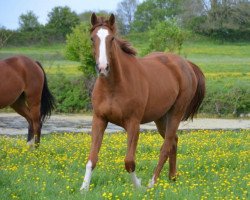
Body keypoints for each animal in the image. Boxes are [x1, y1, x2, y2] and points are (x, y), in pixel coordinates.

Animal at [80, 13, 205, 191]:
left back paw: (152, 182)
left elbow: (129, 161)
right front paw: (83, 188)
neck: (114, 86)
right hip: (161, 118)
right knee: (173, 141)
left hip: (176, 113)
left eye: (112, 38)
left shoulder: (133, 124)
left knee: (166, 146)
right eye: (92, 38)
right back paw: (172, 177)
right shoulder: (99, 120)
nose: (103, 68)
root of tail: (186, 64)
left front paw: (138, 186)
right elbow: (92, 158)